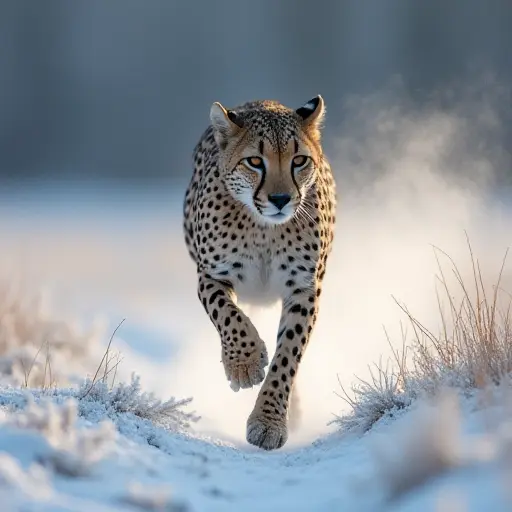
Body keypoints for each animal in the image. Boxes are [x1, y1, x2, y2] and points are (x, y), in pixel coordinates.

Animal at [183, 95, 336, 448]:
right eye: (254, 161)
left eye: (299, 160)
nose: (280, 199)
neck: (265, 227)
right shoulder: (211, 276)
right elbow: (228, 315)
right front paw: (244, 363)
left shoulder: (303, 289)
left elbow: (288, 355)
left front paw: (269, 421)